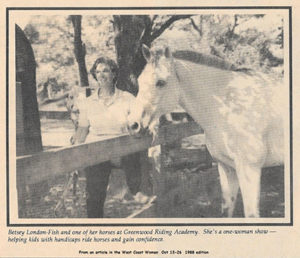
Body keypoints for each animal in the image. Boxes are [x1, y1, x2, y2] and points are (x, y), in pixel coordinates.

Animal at [127, 44, 284, 218]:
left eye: (160, 82)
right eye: (139, 81)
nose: (133, 125)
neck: (230, 106)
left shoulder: (250, 169)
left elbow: (251, 214)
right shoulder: (226, 167)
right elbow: (226, 210)